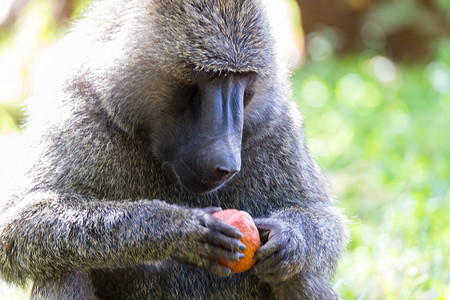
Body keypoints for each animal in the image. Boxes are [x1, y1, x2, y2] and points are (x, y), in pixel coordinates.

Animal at [0, 0, 348, 298]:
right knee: (61, 268)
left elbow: (328, 220)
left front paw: (290, 238)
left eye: (241, 79)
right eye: (211, 76)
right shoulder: (76, 110)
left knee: (300, 273)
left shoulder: (276, 125)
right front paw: (179, 228)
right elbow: (19, 224)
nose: (226, 163)